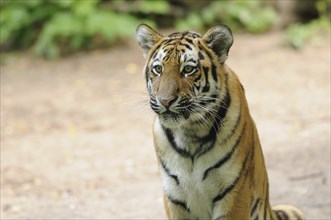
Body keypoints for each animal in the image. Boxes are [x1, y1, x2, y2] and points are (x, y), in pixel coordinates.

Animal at [136, 24, 304, 220]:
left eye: (188, 69)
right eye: (158, 69)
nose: (165, 101)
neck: (190, 132)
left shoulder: (234, 192)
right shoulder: (173, 197)